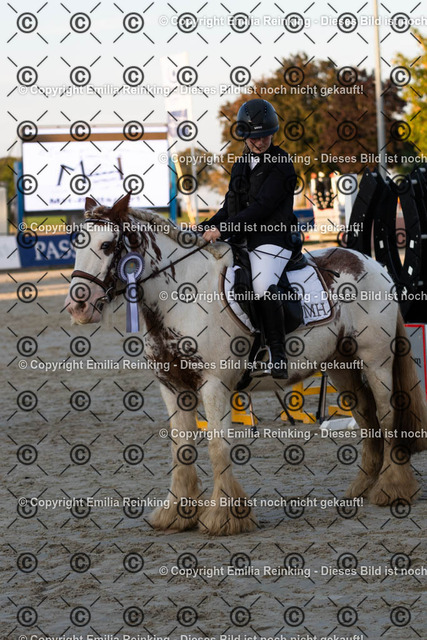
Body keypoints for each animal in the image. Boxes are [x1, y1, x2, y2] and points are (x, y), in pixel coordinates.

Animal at [65, 193, 427, 535]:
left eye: (107, 245)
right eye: (76, 244)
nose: (78, 306)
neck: (180, 296)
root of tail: (372, 264)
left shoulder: (214, 385)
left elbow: (217, 446)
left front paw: (225, 517)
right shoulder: (172, 386)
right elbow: (181, 447)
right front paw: (176, 514)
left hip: (376, 361)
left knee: (387, 416)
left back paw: (393, 489)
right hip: (341, 366)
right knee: (367, 418)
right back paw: (362, 488)